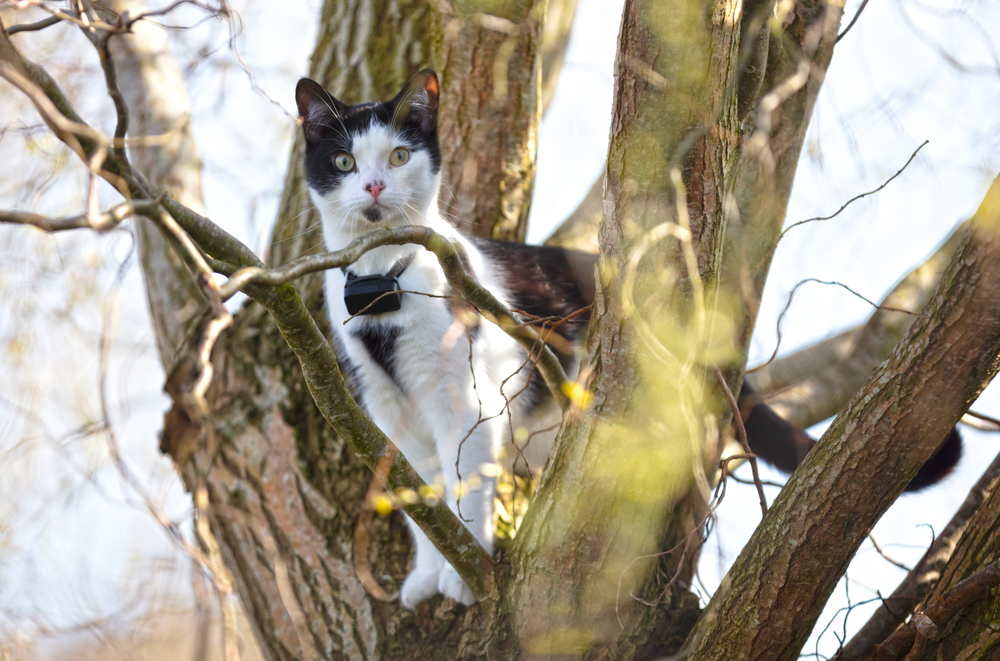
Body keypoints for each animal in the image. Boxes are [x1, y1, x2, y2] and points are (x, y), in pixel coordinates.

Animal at [292, 69, 964, 604]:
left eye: (399, 157)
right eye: (345, 162)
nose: (374, 186)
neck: (382, 282)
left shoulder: (463, 402)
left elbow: (465, 490)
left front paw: (463, 575)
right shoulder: (390, 415)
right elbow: (419, 501)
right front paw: (427, 577)